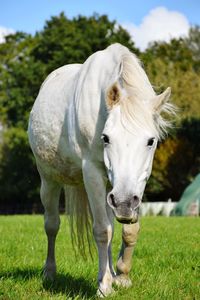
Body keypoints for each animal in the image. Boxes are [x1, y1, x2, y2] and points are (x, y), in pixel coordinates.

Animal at [28, 43, 175, 296]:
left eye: (151, 141)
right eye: (106, 138)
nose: (124, 203)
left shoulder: (136, 183)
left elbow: (128, 230)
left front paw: (122, 276)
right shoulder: (93, 175)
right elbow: (101, 231)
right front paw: (104, 286)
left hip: (110, 190)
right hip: (50, 180)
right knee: (52, 225)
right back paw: (49, 273)